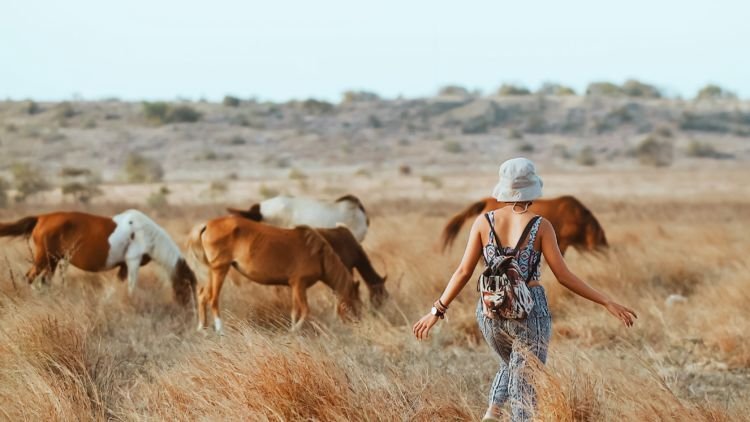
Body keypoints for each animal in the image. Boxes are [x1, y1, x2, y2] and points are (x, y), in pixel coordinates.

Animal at [0, 209, 197, 304]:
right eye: (189, 287)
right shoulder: (133, 263)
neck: (145, 233)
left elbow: (114, 288)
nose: (190, 310)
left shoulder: (124, 266)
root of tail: (41, 218)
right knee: (30, 278)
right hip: (45, 260)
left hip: (52, 262)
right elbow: (131, 288)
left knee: (43, 282)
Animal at [188, 216, 364, 334]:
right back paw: (220, 330)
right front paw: (294, 330)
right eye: (353, 304)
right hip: (220, 270)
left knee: (203, 296)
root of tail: (207, 225)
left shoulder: (295, 287)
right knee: (213, 298)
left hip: (211, 271)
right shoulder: (299, 285)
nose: (357, 325)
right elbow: (305, 311)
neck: (317, 253)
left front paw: (293, 329)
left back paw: (202, 329)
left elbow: (295, 311)